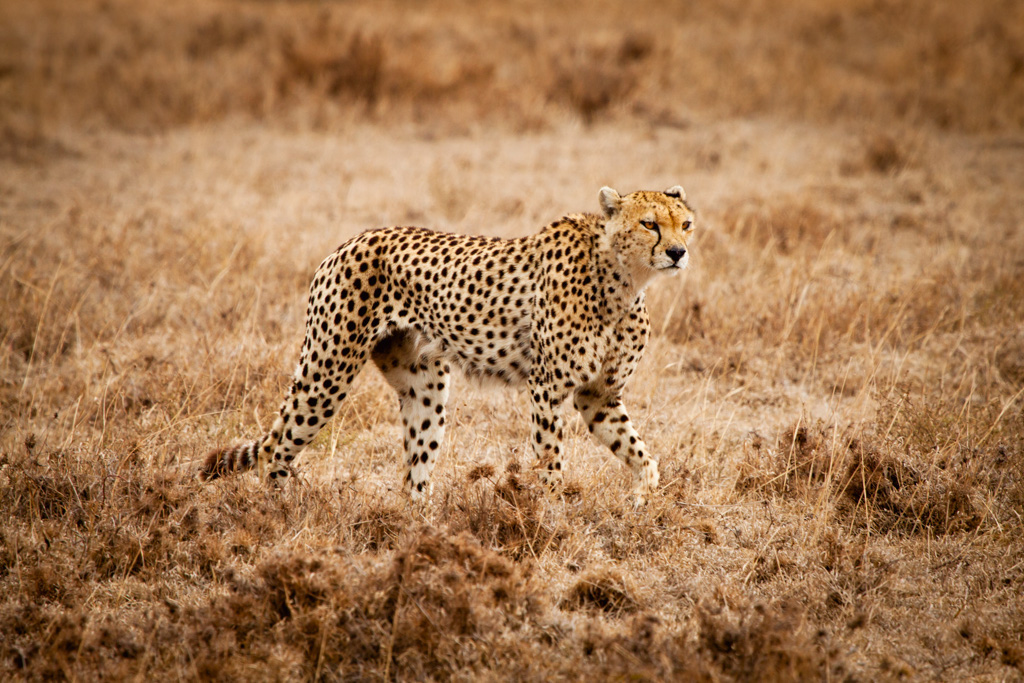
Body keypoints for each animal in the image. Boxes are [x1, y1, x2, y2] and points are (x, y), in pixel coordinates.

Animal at [201, 185, 696, 504]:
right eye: (650, 224)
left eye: (686, 224)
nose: (678, 253)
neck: (623, 278)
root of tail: (350, 241)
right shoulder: (547, 389)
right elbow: (551, 462)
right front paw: (552, 519)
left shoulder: (599, 395)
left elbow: (640, 454)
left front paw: (641, 502)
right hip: (327, 372)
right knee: (278, 446)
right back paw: (278, 514)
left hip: (424, 386)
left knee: (414, 473)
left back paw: (420, 531)